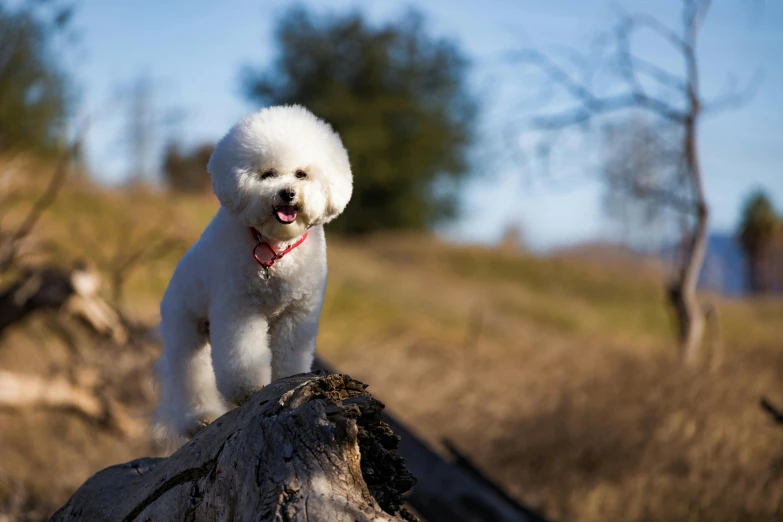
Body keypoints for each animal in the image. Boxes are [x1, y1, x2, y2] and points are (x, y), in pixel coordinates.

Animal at [152, 105, 352, 438]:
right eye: (267, 174)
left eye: (301, 174)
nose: (287, 193)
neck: (274, 247)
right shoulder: (240, 309)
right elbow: (242, 355)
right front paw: (249, 390)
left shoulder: (297, 314)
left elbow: (291, 355)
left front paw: (289, 382)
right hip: (184, 329)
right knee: (190, 374)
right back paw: (199, 418)